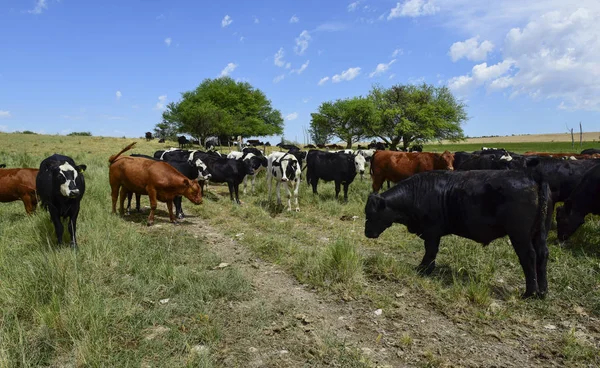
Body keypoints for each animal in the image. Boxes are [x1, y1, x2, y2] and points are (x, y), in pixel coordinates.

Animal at [364, 170, 552, 300]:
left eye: (371, 214)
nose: (366, 233)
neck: (418, 193)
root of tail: (533, 177)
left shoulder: (432, 231)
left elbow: (430, 251)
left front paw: (423, 269)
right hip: (538, 233)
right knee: (542, 255)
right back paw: (542, 292)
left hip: (520, 235)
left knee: (529, 257)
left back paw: (529, 293)